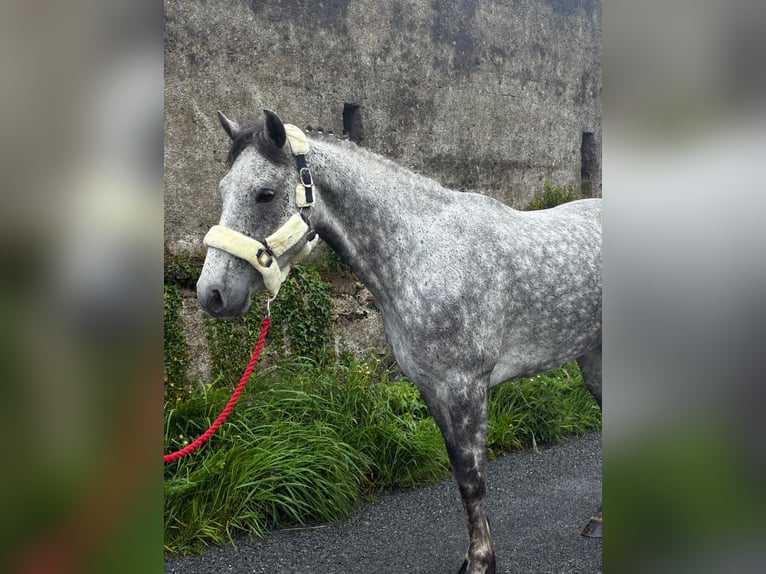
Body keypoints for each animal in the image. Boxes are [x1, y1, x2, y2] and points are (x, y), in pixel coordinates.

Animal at [196, 109, 602, 574]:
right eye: (223, 189)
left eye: (264, 194)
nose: (211, 294)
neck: (424, 254)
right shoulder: (433, 389)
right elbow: (460, 477)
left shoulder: (465, 389)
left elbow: (473, 480)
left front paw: (481, 563)